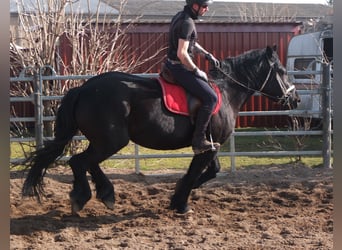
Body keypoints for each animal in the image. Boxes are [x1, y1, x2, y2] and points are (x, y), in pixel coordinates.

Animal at [21, 46, 300, 214]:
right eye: (281, 71)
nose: (295, 99)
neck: (227, 92)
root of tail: (84, 88)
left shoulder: (211, 145)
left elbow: (211, 172)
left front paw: (178, 194)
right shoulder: (208, 146)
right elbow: (196, 173)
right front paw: (181, 202)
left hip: (103, 141)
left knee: (87, 162)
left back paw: (104, 193)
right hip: (112, 141)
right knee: (80, 161)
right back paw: (84, 197)